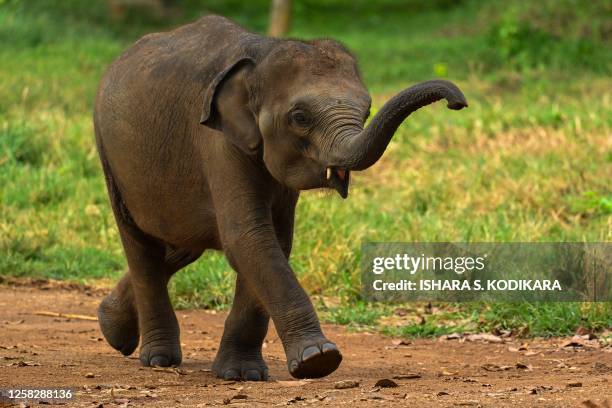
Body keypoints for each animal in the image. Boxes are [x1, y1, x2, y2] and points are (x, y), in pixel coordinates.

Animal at [93, 14, 466, 380]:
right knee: (142, 245)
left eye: (368, 111)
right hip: (111, 157)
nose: (458, 102)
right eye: (299, 118)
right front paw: (319, 360)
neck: (259, 57)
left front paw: (242, 374)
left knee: (183, 244)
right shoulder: (218, 144)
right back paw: (158, 359)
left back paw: (112, 327)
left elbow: (274, 241)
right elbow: (250, 238)